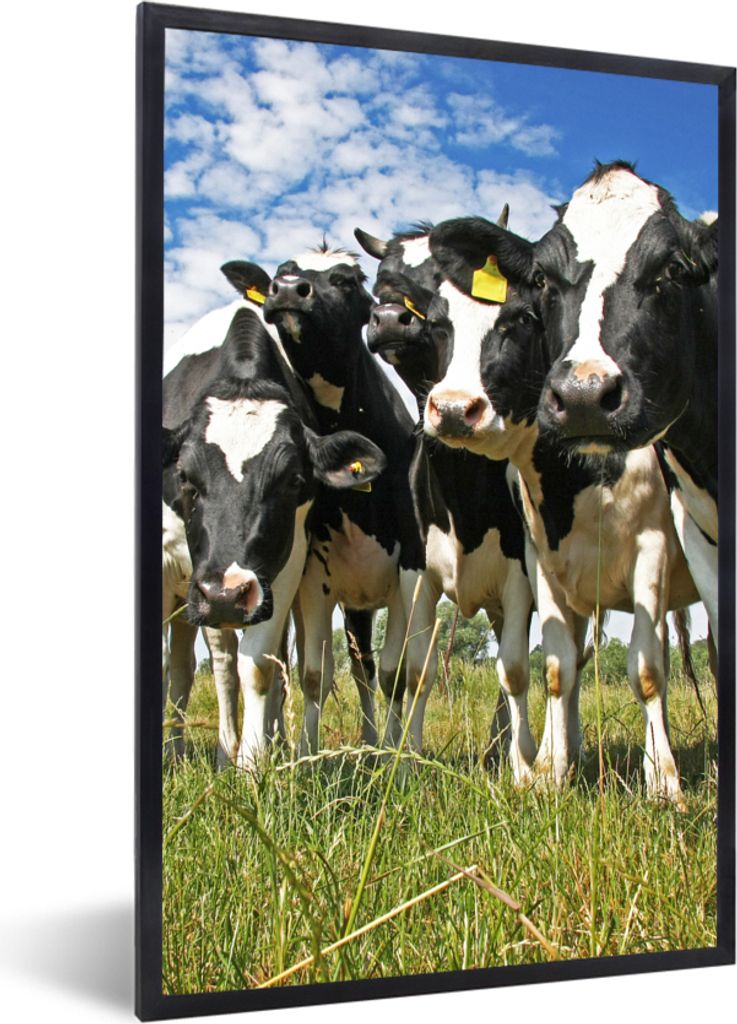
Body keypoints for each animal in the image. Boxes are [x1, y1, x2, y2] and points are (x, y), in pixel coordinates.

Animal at [163, 306, 385, 767]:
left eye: (293, 480)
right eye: (185, 477)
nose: (226, 593)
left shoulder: (286, 566)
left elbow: (261, 664)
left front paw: (252, 763)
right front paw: (237, 755)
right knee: (204, 663)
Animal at [354, 217, 537, 782]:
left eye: (436, 278)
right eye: (380, 283)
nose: (389, 319)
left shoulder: (521, 575)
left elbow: (516, 669)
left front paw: (524, 770)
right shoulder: (416, 575)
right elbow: (415, 672)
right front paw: (406, 764)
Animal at [420, 214, 699, 806]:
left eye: (523, 318)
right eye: (436, 325)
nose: (453, 409)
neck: (577, 480)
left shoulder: (652, 550)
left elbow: (646, 672)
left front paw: (665, 785)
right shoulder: (544, 563)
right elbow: (556, 669)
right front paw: (551, 772)